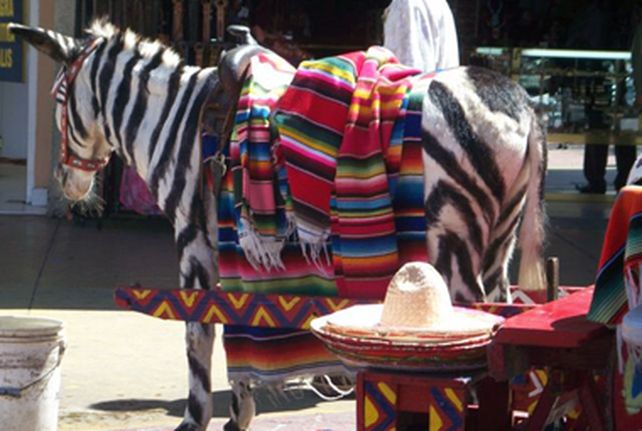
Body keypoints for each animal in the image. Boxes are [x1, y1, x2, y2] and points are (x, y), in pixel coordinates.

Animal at [10, 20, 547, 431]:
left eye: (58, 98)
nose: (67, 185)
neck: (174, 122)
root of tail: (522, 104)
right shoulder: (230, 246)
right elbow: (240, 318)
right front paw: (240, 411)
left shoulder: (193, 238)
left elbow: (201, 329)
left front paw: (202, 418)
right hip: (497, 245)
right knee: (502, 332)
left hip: (454, 241)